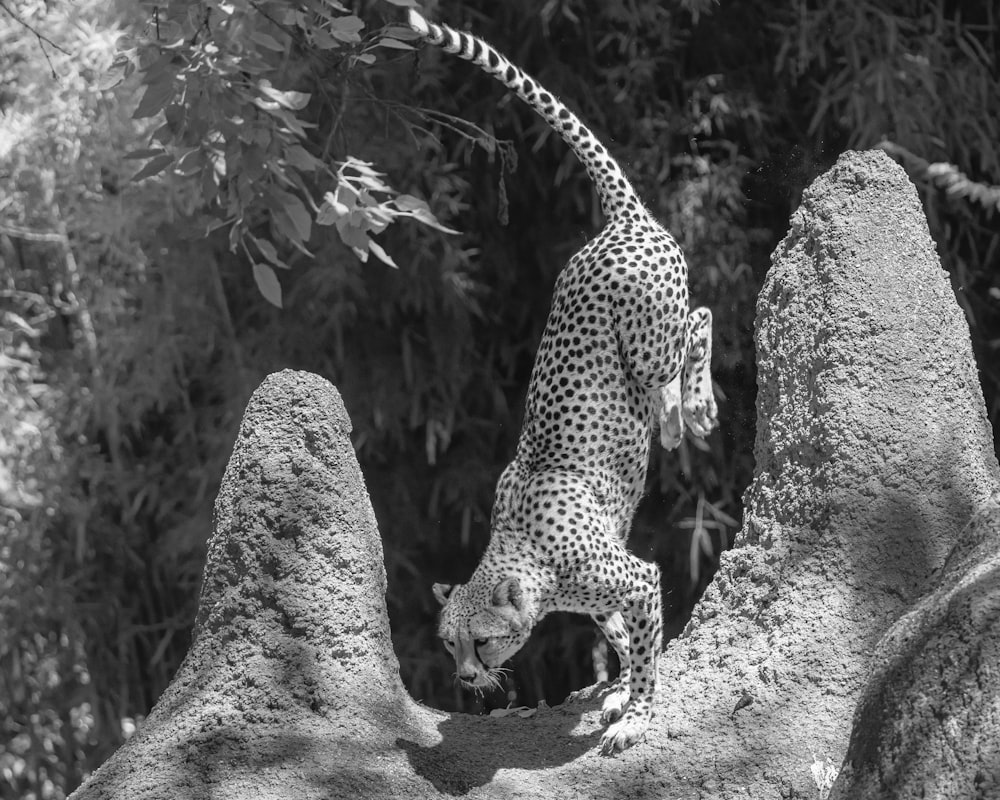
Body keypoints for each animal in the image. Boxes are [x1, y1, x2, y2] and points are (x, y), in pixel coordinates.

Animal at [406, 9, 720, 752]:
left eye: (484, 642)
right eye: (449, 644)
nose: (465, 680)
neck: (531, 556)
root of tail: (621, 224)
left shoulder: (640, 575)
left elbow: (646, 645)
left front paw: (635, 713)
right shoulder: (610, 595)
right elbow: (626, 636)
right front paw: (616, 690)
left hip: (650, 342)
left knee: (699, 319)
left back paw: (694, 407)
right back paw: (675, 416)